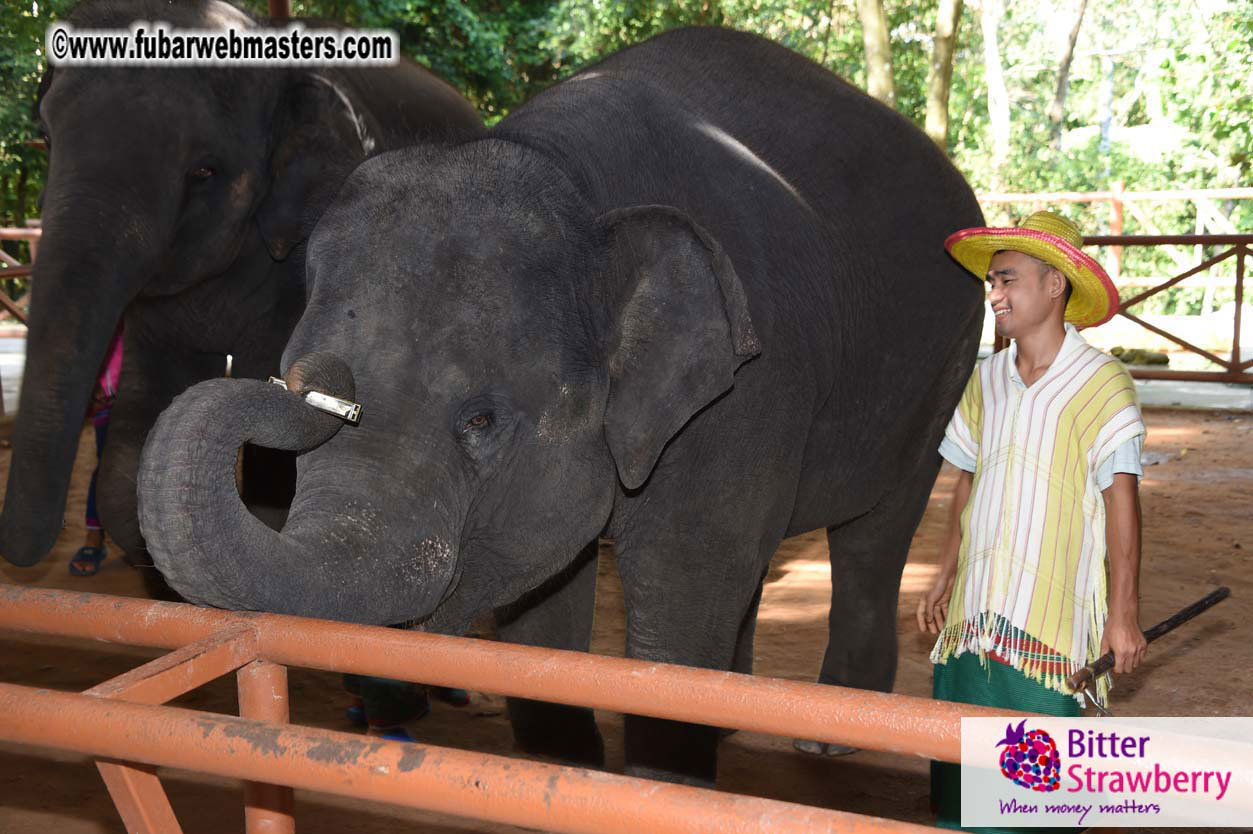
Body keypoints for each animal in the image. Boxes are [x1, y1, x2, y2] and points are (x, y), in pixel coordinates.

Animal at [138, 27, 986, 785]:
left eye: (480, 421)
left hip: (946, 362)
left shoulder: (749, 389)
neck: (578, 183)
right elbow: (543, 605)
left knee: (875, 533)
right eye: (292, 370)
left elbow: (684, 585)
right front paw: (562, 767)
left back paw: (827, 736)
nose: (307, 385)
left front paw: (665, 778)